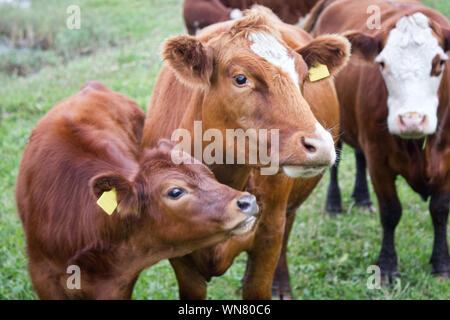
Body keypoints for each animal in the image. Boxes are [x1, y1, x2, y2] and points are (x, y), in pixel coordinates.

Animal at [310, 0, 450, 278]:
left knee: (359, 156)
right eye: (383, 64)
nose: (411, 119)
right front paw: (386, 266)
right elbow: (390, 212)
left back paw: (362, 198)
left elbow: (440, 210)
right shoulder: (379, 161)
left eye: (440, 62)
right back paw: (334, 205)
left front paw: (441, 264)